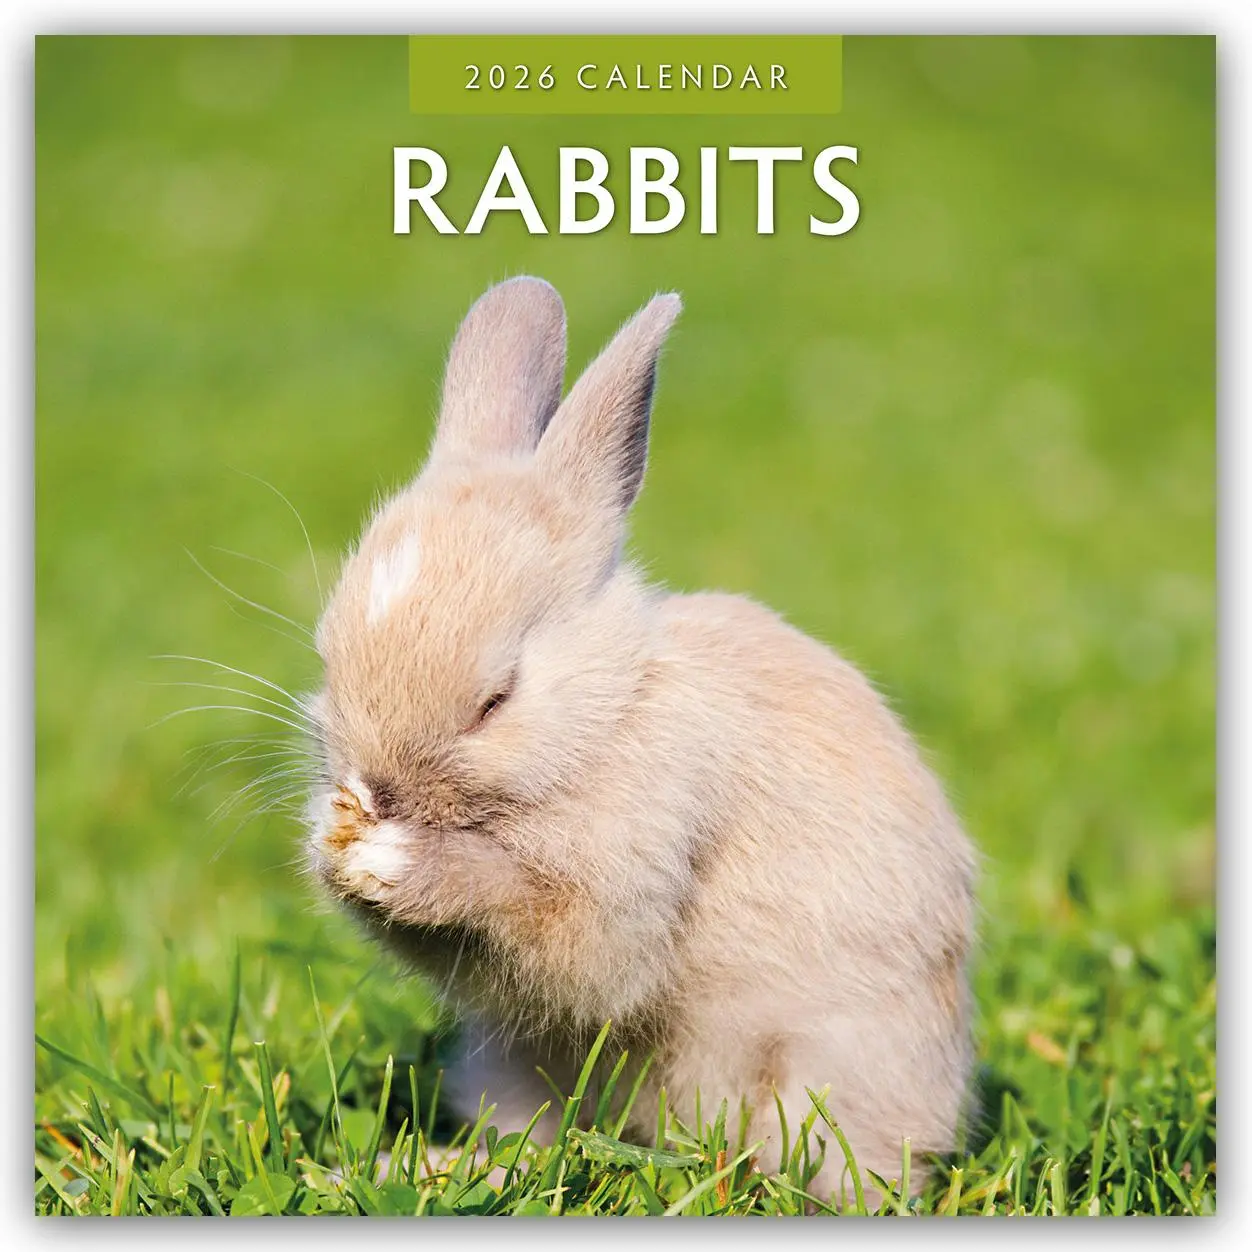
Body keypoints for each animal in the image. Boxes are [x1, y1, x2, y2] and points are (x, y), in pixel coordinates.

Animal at [302, 275, 978, 1205]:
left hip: (834, 1074)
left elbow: (574, 942)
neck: (610, 712)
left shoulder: (642, 859)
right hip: (511, 1066)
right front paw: (334, 846)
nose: (377, 790)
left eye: (496, 699)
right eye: (326, 656)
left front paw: (398, 862)